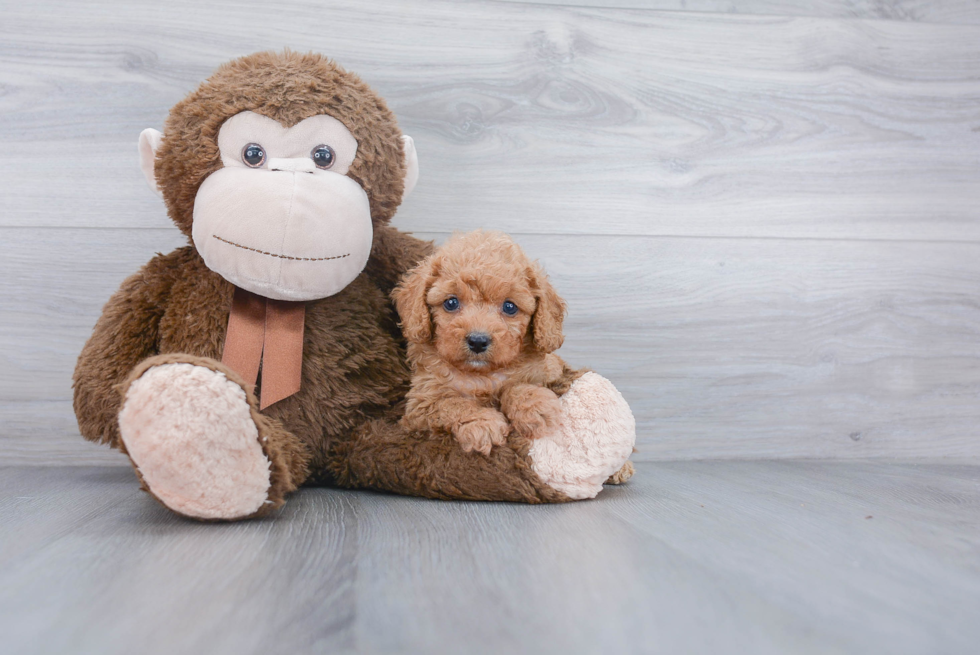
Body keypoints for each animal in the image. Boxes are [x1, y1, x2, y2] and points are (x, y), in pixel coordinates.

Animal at [394, 231, 572, 456]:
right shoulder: (420, 405)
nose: (478, 341)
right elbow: (451, 403)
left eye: (510, 307)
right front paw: (482, 423)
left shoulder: (543, 372)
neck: (482, 375)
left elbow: (518, 384)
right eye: (451, 303)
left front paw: (533, 405)